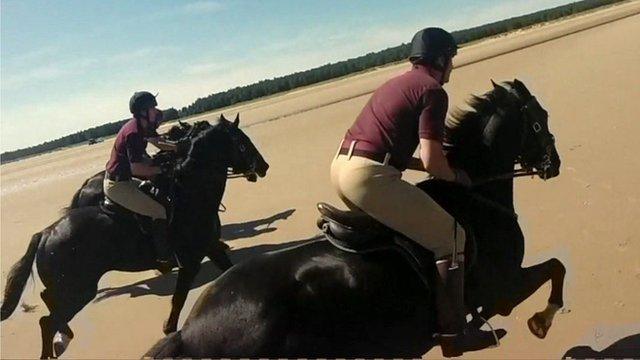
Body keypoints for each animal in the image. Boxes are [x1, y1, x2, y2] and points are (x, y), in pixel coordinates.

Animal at [0, 114, 270, 358]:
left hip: (70, 289)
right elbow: (178, 300)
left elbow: (229, 272)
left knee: (48, 305)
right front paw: (169, 330)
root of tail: (45, 233)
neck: (190, 193)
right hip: (79, 290)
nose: (263, 167)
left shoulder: (211, 248)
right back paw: (58, 340)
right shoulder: (190, 262)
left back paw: (62, 336)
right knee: (47, 321)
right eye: (242, 143)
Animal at [144, 79, 564, 358]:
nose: (554, 165)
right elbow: (556, 268)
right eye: (539, 120)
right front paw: (542, 322)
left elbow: (556, 267)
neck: (478, 195)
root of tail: (188, 332)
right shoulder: (504, 287)